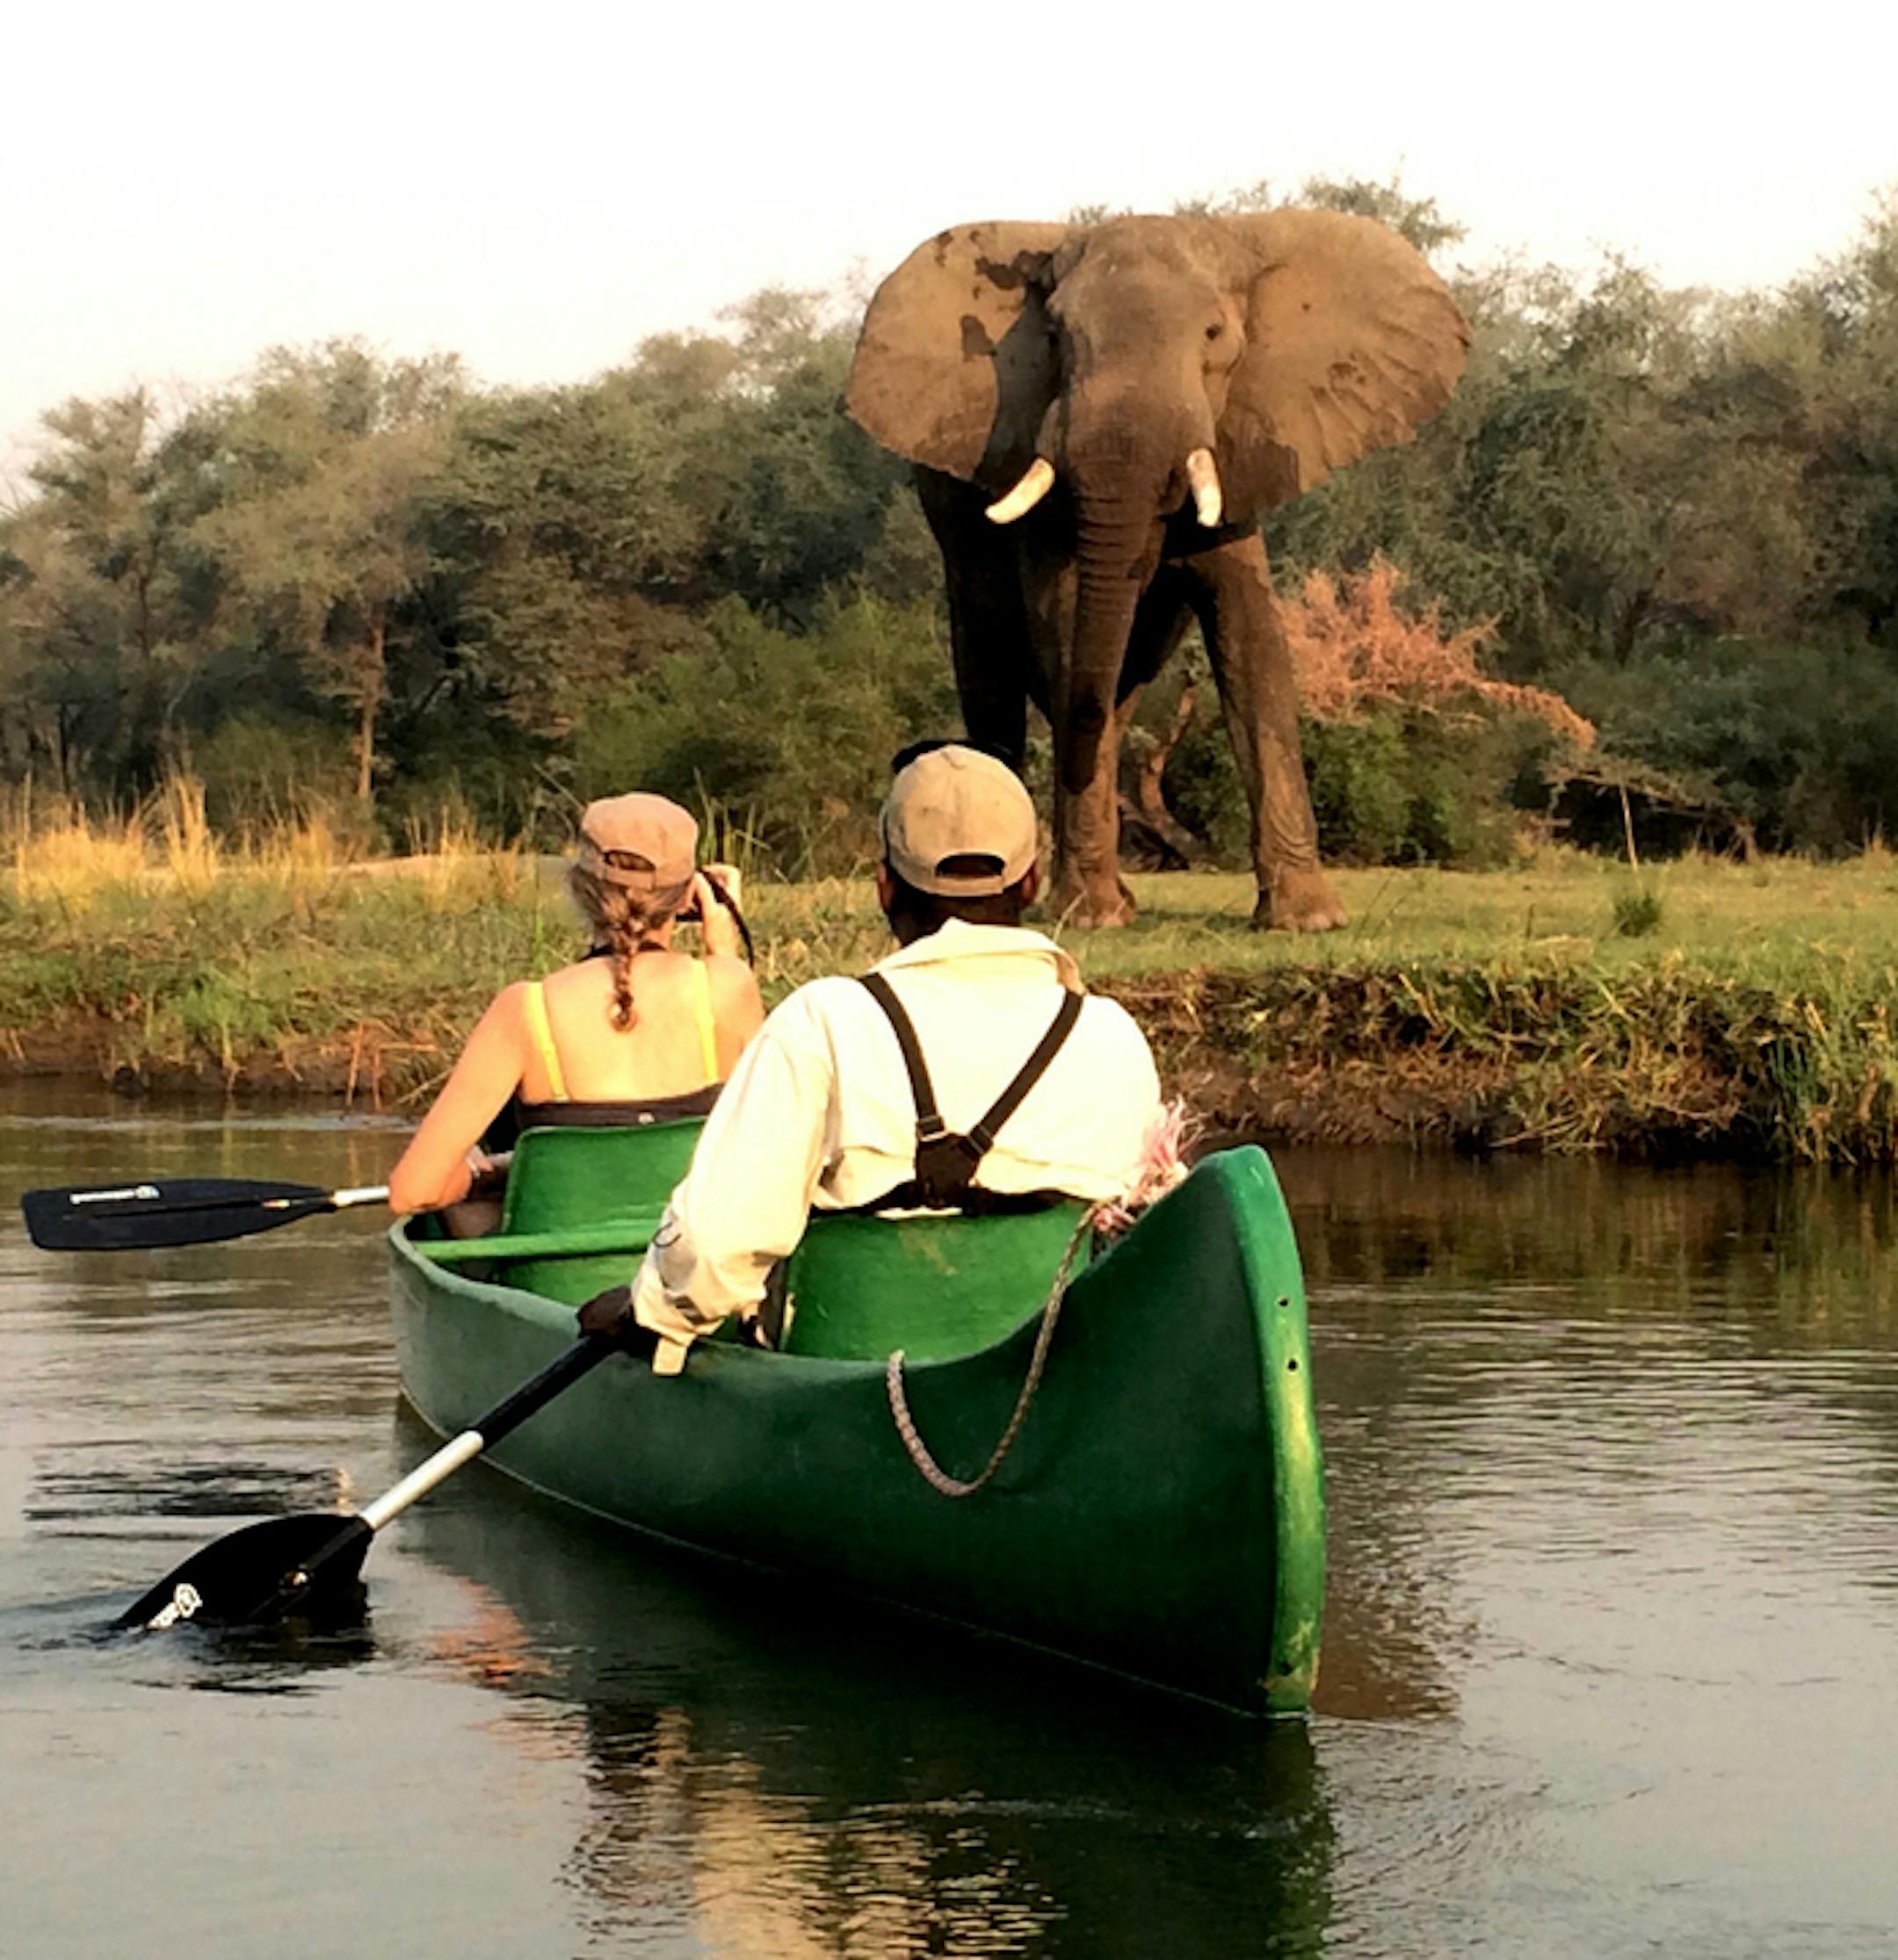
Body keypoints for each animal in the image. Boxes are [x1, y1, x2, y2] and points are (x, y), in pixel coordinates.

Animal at [844, 211, 1469, 929]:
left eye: (1214, 334)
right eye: (1054, 337)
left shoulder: (1237, 450)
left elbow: (1250, 637)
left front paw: (1306, 920)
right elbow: (1066, 624)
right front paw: (1089, 917)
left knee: (1117, 684)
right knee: (995, 666)